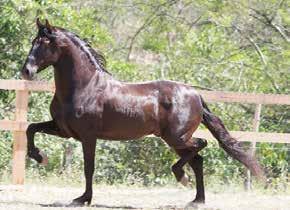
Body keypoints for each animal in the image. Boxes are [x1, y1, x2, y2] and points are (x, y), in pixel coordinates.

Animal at [21, 18, 262, 207]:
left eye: (44, 43)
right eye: (33, 42)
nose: (26, 71)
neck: (84, 87)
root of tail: (195, 95)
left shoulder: (88, 137)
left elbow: (89, 167)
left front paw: (83, 199)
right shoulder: (63, 130)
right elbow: (30, 128)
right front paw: (39, 156)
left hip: (176, 137)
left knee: (201, 145)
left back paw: (181, 177)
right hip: (175, 140)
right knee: (197, 160)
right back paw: (196, 200)